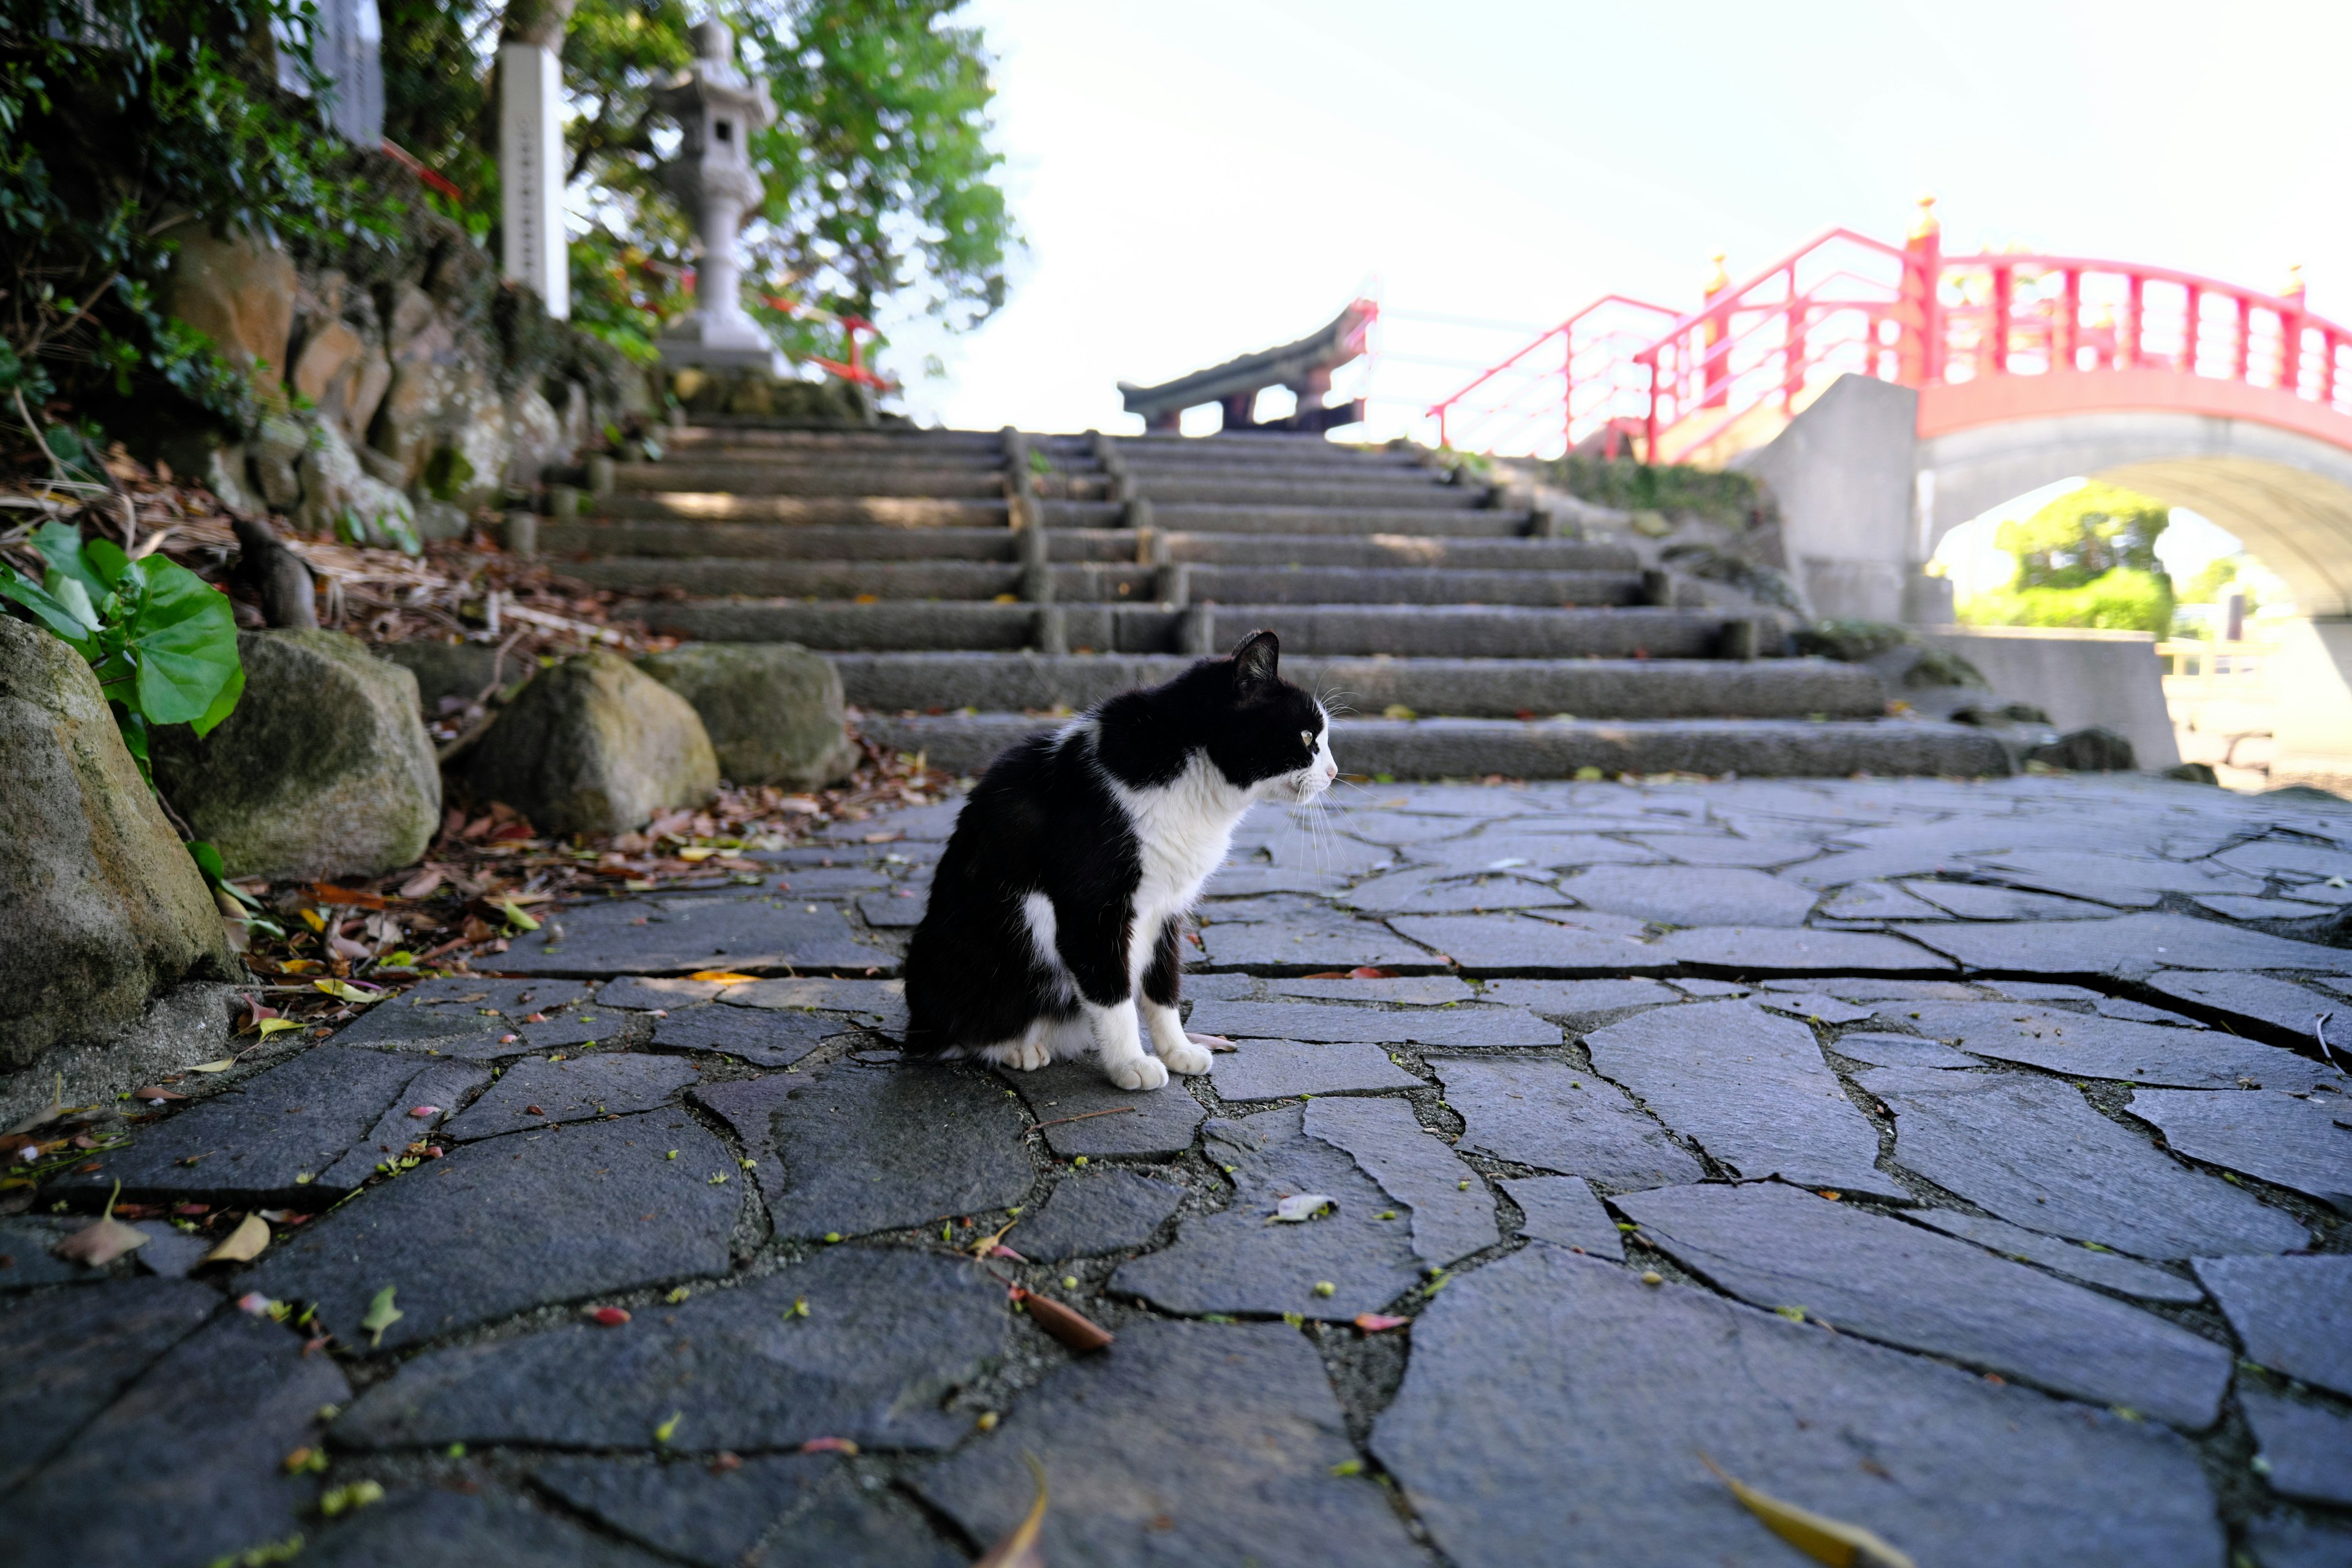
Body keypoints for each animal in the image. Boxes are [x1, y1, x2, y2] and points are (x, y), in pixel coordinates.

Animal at [903, 630, 1336, 1086]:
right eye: (1307, 738)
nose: (1333, 772)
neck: (1189, 774)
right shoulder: (1091, 910)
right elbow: (1113, 993)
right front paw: (1130, 1064)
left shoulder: (1167, 908)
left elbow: (1162, 986)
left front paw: (1177, 1051)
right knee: (963, 1031)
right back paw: (1016, 1048)